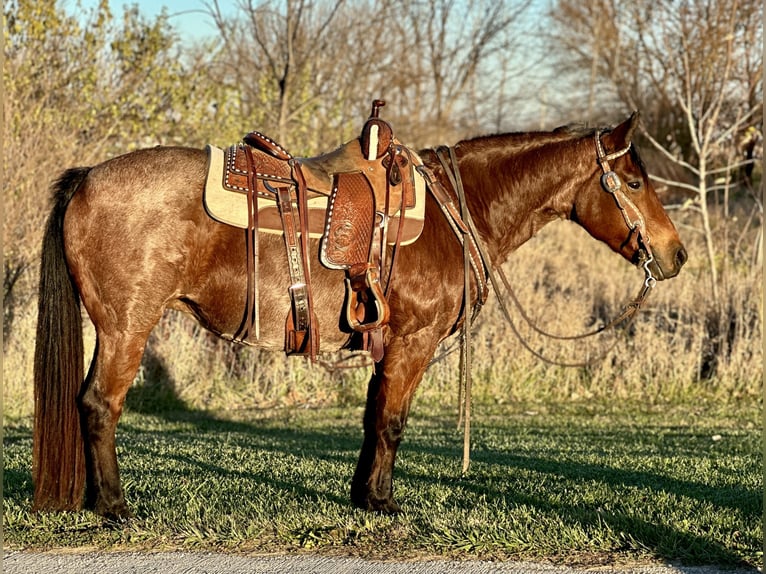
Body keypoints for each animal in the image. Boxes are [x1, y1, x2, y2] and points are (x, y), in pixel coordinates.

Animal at [33, 110, 688, 520]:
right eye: (633, 181)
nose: (676, 254)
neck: (456, 211)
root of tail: (86, 179)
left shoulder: (386, 344)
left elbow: (373, 419)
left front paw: (363, 496)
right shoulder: (414, 341)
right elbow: (393, 422)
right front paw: (385, 502)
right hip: (127, 326)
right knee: (99, 404)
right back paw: (114, 507)